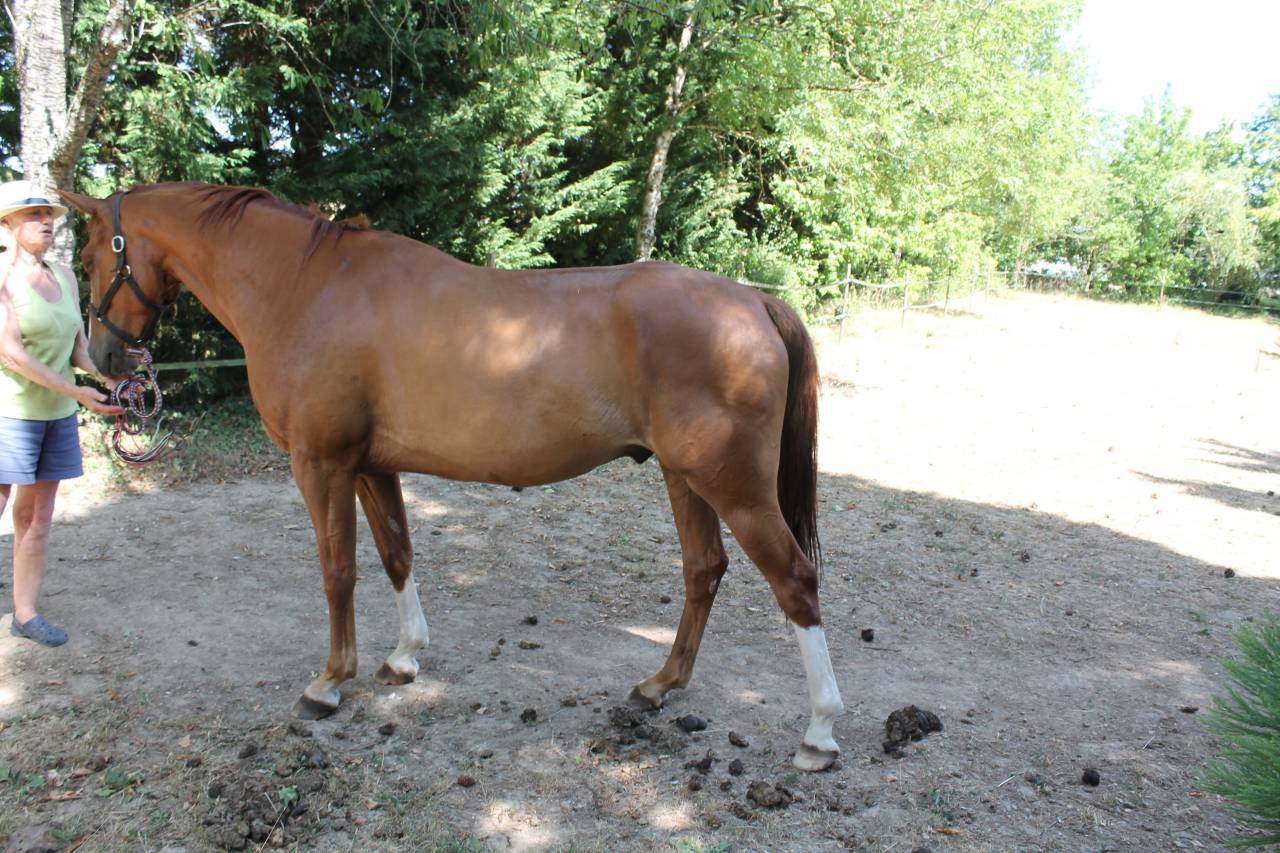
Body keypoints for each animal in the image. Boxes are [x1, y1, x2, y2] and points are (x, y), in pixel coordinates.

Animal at [59, 182, 845, 771]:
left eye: (92, 253)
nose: (102, 359)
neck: (305, 289)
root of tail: (753, 300)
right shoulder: (371, 466)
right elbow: (396, 555)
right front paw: (404, 659)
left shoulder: (321, 462)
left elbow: (338, 571)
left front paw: (329, 683)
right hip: (688, 478)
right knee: (703, 571)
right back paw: (659, 686)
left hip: (733, 485)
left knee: (795, 582)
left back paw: (819, 732)